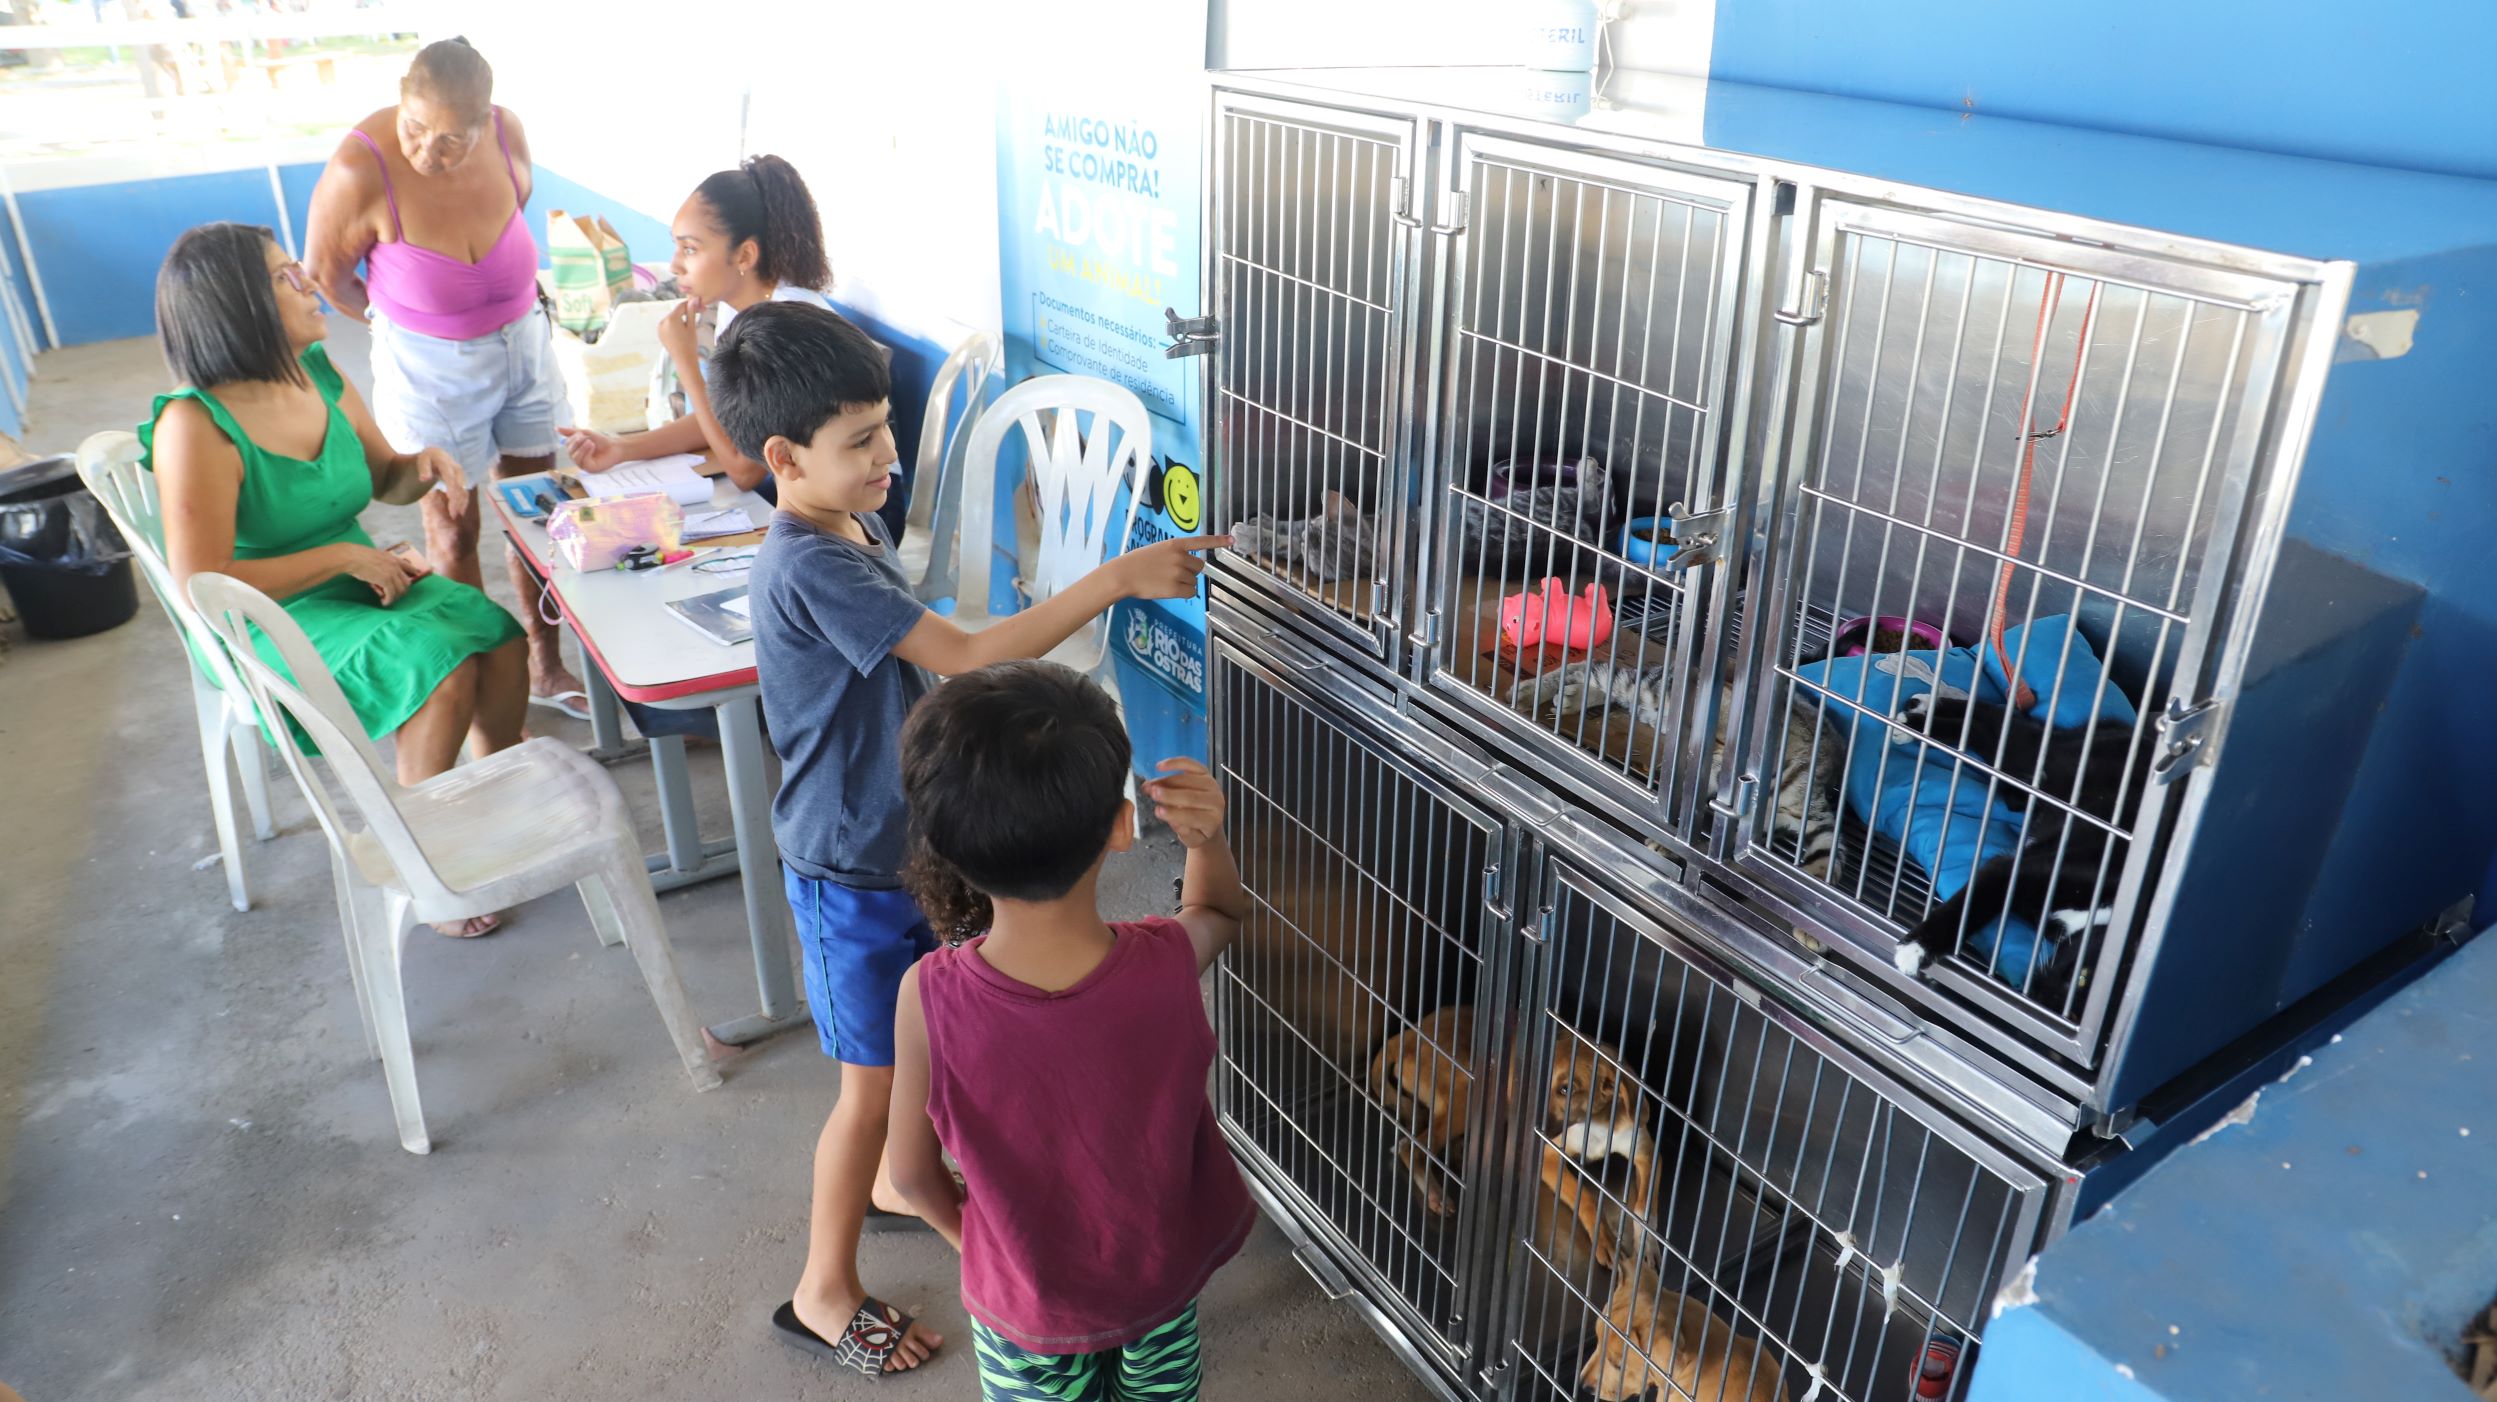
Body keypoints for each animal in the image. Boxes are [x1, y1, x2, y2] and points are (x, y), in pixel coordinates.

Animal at [1508, 659, 1847, 874]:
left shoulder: (1818, 819)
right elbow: (1690, 825)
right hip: (1650, 688)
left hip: (1650, 706)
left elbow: (1825, 861)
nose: (1686, 756)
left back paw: (1573, 696)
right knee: (1598, 668)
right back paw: (1531, 690)